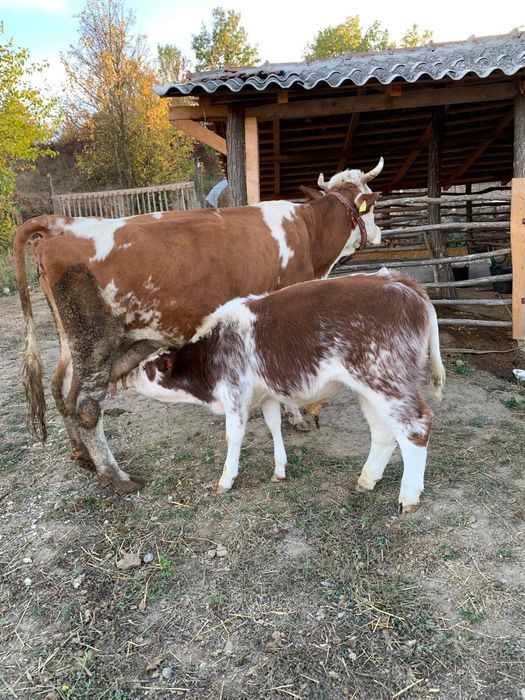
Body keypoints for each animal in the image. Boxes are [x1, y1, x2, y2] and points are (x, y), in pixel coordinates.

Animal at [14, 160, 384, 494]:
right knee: (86, 407)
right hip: (96, 341)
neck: (307, 235)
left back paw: (83, 456)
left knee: (61, 390)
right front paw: (297, 415)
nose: (379, 234)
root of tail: (60, 224)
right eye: (372, 205)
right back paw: (115, 477)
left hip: (74, 343)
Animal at [123, 271, 445, 513]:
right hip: (369, 388)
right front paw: (280, 469)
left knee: (415, 427)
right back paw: (367, 479)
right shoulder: (266, 395)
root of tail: (403, 282)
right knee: (383, 432)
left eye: (148, 367)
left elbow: (233, 436)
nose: (126, 377)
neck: (211, 351)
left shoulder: (235, 393)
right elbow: (273, 425)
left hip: (386, 380)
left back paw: (409, 496)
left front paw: (226, 479)